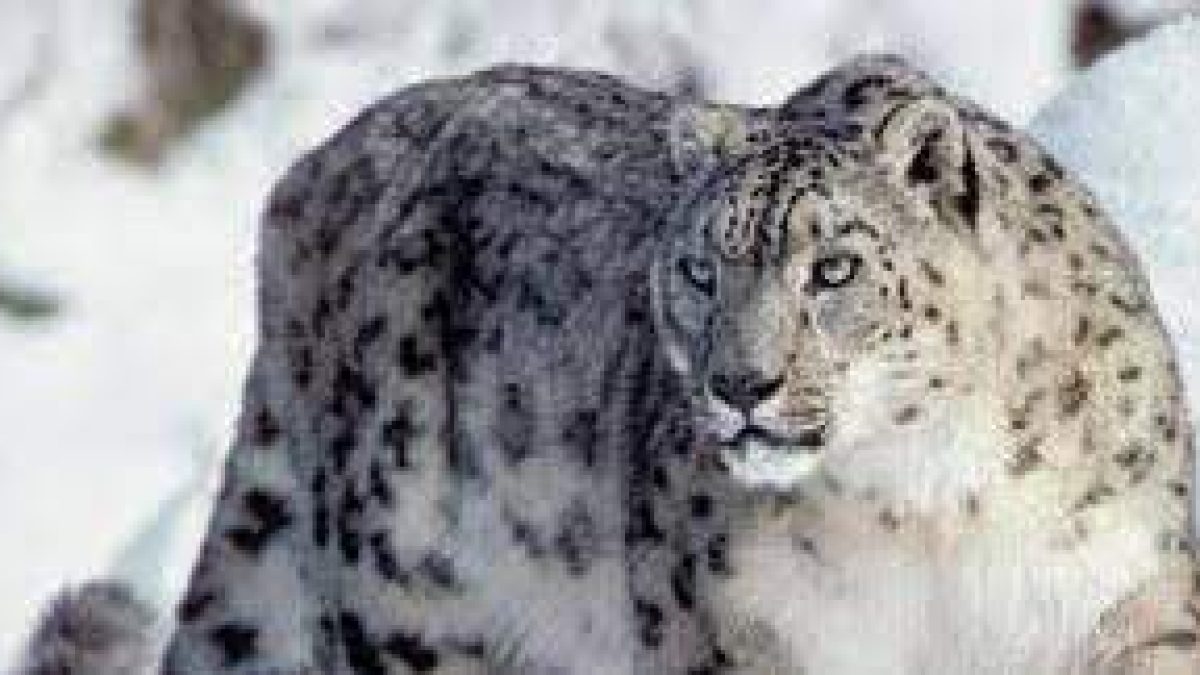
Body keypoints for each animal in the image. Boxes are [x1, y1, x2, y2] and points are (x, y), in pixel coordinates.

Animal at [15, 56, 1196, 674]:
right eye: (700, 269)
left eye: (835, 267)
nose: (740, 386)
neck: (930, 507)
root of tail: (305, 182)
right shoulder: (742, 637)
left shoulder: (1121, 596)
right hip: (410, 601)